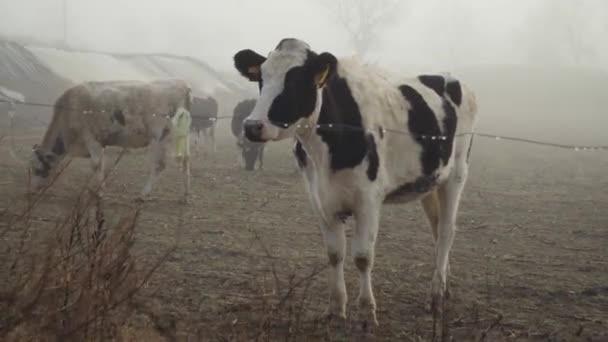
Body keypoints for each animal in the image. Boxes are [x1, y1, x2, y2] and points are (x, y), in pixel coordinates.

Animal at [30, 79, 192, 202]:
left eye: (37, 169)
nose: (32, 191)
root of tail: (180, 84)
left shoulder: (91, 138)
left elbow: (96, 165)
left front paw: (99, 192)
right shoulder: (100, 143)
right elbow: (101, 164)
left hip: (159, 137)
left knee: (160, 165)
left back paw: (143, 194)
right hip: (182, 137)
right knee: (185, 161)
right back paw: (185, 195)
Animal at [235, 38, 478, 328]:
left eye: (295, 81)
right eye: (261, 78)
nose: (252, 126)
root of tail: (448, 76)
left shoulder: (368, 201)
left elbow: (362, 257)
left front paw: (366, 312)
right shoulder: (321, 200)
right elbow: (334, 254)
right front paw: (336, 308)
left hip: (457, 174)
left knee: (446, 231)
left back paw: (436, 296)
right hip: (430, 180)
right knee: (437, 228)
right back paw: (444, 287)